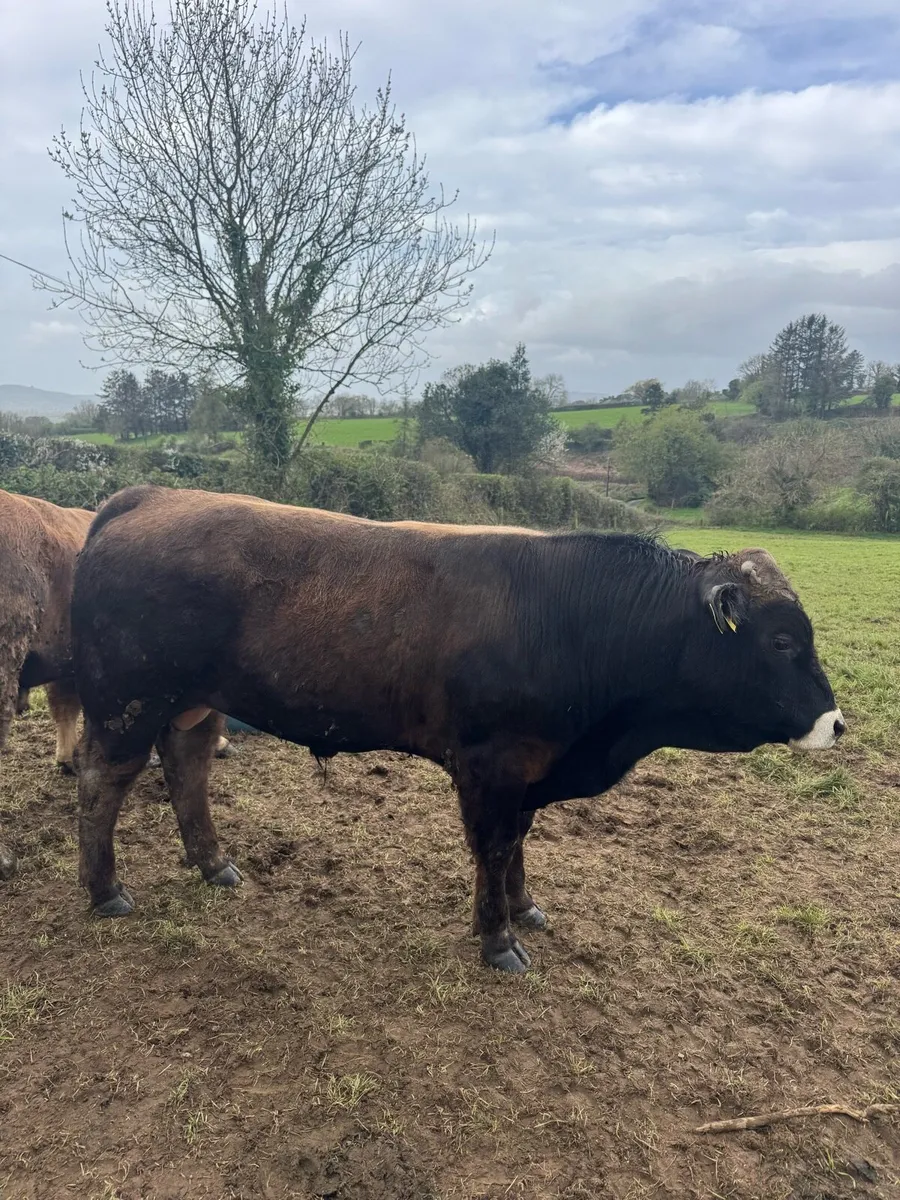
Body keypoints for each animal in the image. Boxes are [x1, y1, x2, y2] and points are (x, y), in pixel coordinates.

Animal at [71, 484, 844, 972]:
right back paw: (104, 891)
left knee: (187, 767)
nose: (836, 724)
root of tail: (148, 497)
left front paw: (524, 908)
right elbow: (494, 847)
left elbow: (519, 843)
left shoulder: (529, 770)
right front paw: (497, 940)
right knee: (102, 781)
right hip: (126, 699)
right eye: (781, 640)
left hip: (193, 702)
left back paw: (213, 863)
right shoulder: (491, 764)